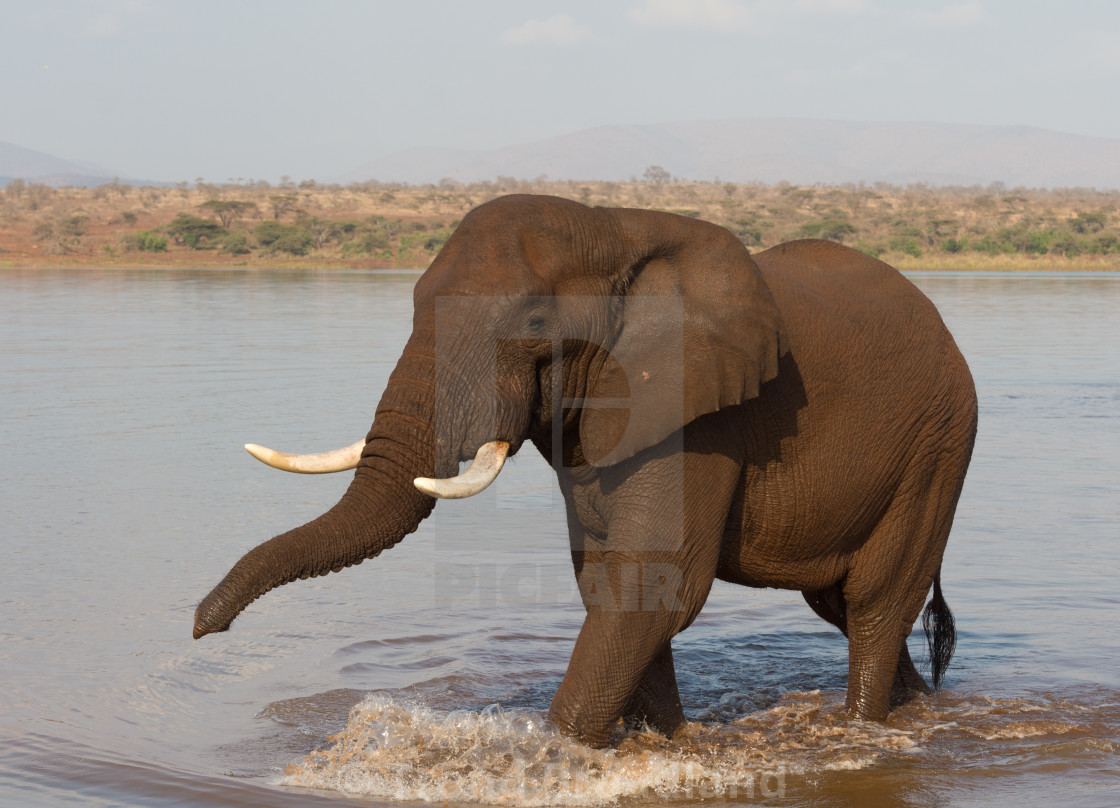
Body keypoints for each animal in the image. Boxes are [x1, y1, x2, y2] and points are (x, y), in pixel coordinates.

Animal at [197, 192, 976, 748]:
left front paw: (556, 754)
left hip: (940, 444)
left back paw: (865, 727)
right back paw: (915, 714)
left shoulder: (700, 411)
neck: (614, 227)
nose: (203, 629)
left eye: (535, 325)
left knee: (875, 600)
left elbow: (654, 583)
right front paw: (664, 743)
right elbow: (608, 578)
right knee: (841, 603)